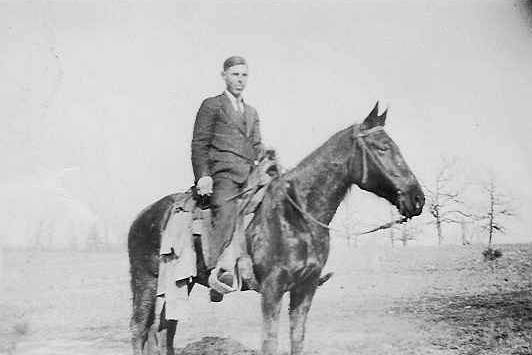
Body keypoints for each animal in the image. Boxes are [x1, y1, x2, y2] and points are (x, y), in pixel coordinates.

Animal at [128, 103, 424, 355]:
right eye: (381, 147)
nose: (418, 198)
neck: (297, 216)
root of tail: (142, 216)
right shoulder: (272, 289)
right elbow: (270, 342)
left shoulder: (305, 288)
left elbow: (297, 339)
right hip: (146, 281)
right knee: (140, 330)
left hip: (180, 284)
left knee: (164, 330)